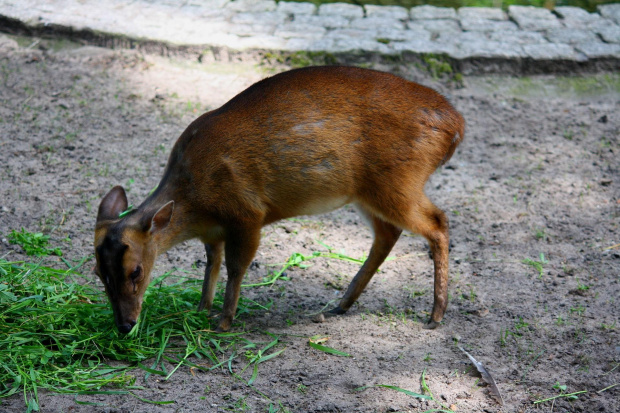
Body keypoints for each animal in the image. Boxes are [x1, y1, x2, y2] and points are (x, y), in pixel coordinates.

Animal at [95, 66, 464, 334]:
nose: (124, 325)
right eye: (98, 273)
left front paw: (223, 322)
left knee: (437, 222)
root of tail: (456, 125)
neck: (195, 200)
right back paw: (342, 304)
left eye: (136, 271)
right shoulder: (213, 231)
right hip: (368, 191)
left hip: (397, 181)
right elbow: (211, 265)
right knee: (389, 233)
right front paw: (201, 309)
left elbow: (236, 266)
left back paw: (435, 315)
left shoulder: (247, 212)